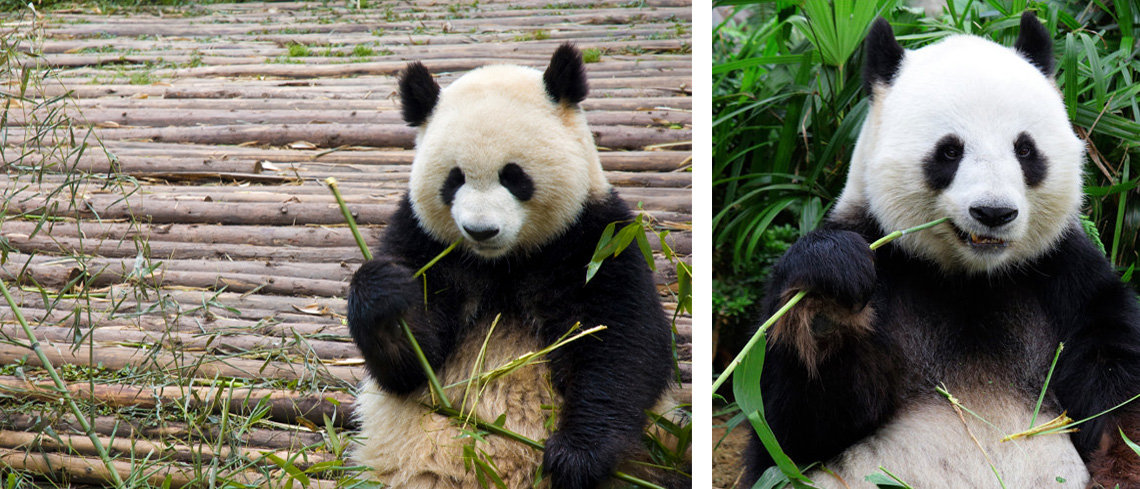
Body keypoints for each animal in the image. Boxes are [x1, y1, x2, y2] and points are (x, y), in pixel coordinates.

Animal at [346, 43, 679, 485]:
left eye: (514, 176)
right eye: (454, 179)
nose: (480, 230)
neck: (502, 263)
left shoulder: (595, 239)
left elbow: (624, 341)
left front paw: (576, 457)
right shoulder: (422, 240)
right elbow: (410, 365)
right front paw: (385, 295)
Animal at [738, 11, 1140, 487]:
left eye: (1025, 149)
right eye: (949, 151)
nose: (993, 212)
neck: (970, 279)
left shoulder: (1066, 277)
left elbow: (1119, 394)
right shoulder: (883, 259)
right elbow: (789, 431)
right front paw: (827, 298)